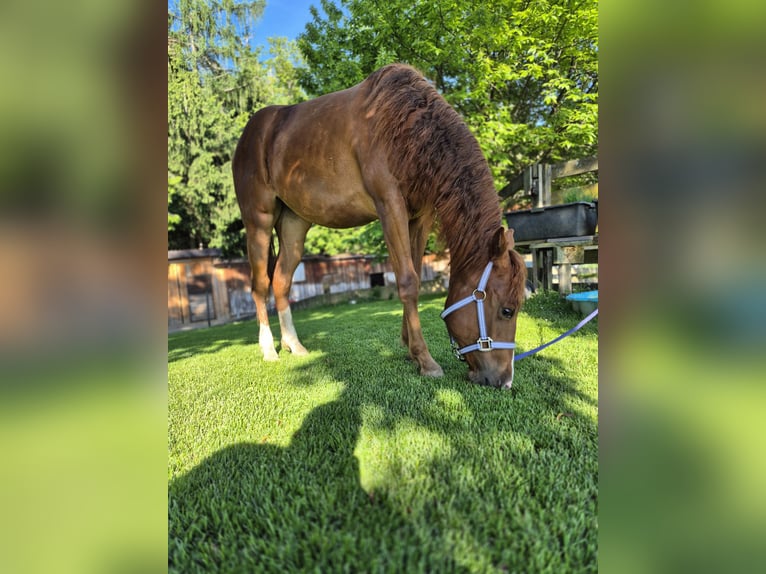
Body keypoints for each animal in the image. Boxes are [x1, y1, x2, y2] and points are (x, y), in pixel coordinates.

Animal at [233, 64, 526, 388]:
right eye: (507, 310)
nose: (504, 380)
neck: (405, 126)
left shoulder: (420, 216)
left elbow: (413, 271)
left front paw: (410, 350)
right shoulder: (390, 206)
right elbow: (408, 281)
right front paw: (426, 361)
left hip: (294, 225)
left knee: (282, 282)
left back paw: (293, 345)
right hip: (258, 222)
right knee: (260, 285)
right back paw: (269, 349)